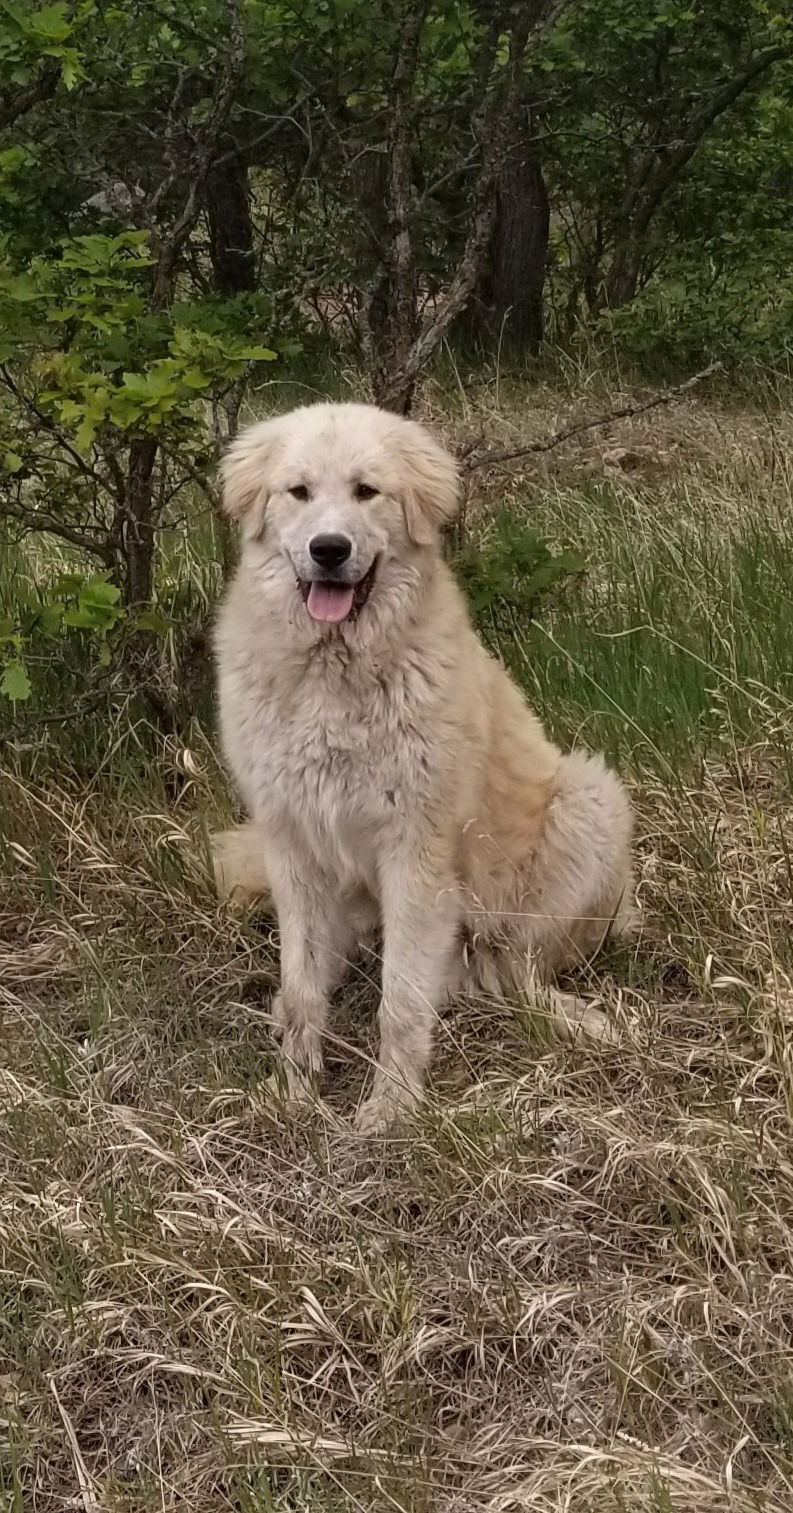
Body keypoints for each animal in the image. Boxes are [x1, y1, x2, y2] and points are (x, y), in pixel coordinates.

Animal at [211, 402, 632, 1137]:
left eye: (366, 492)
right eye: (298, 492)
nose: (328, 549)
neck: (333, 673)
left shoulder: (416, 852)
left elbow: (401, 1003)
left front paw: (392, 1107)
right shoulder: (292, 844)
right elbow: (302, 987)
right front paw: (295, 1091)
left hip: (587, 802)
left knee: (518, 969)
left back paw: (569, 1015)